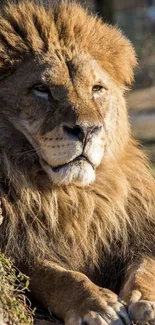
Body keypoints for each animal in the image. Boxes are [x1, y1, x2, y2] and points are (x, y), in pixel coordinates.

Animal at [0, 0, 155, 322]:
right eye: (42, 89)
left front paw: (146, 299)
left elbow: (147, 263)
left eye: (96, 89)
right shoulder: (18, 247)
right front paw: (97, 305)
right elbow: (55, 274)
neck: (73, 198)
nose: (86, 130)